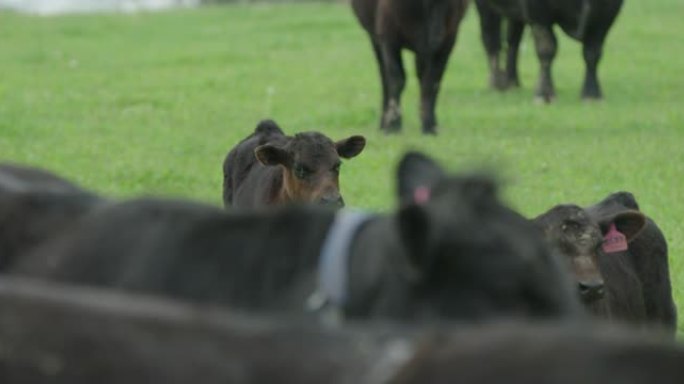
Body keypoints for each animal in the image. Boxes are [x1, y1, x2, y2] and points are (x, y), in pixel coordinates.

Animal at [352, 0, 470, 135]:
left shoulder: (447, 40)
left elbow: (431, 83)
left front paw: (430, 126)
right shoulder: (388, 36)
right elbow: (396, 80)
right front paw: (393, 125)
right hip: (375, 40)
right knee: (385, 78)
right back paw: (383, 122)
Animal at [476, 0, 624, 102]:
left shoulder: (607, 12)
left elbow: (592, 53)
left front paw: (592, 94)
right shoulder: (537, 12)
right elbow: (547, 48)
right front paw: (544, 94)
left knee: (513, 40)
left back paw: (513, 81)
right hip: (485, 6)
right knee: (490, 38)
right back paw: (496, 82)